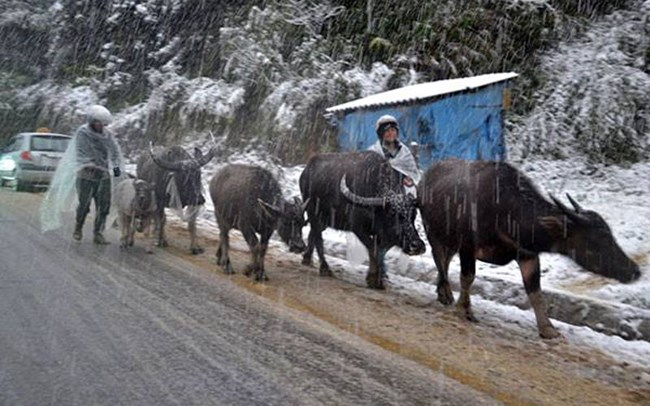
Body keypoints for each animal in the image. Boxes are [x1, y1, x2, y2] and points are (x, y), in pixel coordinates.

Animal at [298, 151, 426, 288]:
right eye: (393, 214)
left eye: (414, 214)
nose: (417, 245)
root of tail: (306, 170)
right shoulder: (358, 228)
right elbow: (373, 250)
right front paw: (373, 279)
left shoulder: (385, 236)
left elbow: (380, 251)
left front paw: (379, 278)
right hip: (312, 211)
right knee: (318, 237)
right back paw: (324, 268)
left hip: (325, 219)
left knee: (313, 233)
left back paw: (307, 258)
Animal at [416, 159, 636, 340]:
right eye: (595, 241)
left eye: (610, 235)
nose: (634, 270)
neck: (505, 212)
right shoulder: (468, 247)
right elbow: (467, 278)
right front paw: (464, 309)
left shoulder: (527, 255)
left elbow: (535, 291)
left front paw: (548, 329)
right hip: (433, 232)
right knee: (439, 259)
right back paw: (445, 293)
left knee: (444, 261)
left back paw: (443, 293)